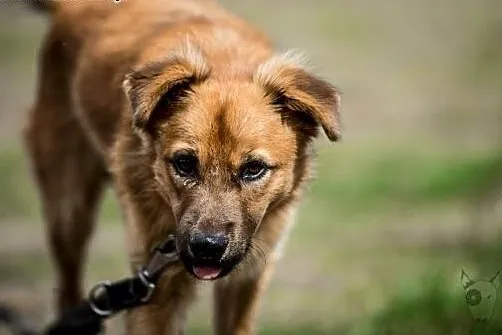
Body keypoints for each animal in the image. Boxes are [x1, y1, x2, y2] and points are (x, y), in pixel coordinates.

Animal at [23, 1, 342, 334]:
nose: (207, 247)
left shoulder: (247, 276)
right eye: (185, 164)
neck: (226, 64)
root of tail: (72, 7)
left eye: (254, 169)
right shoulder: (155, 287)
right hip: (68, 208)